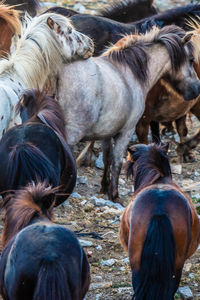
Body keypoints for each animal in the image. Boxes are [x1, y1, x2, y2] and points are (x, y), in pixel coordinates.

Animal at [55, 25, 200, 204]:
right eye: (191, 60)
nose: (197, 89)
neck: (130, 73)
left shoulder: (106, 133)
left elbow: (107, 159)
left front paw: (104, 188)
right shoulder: (126, 131)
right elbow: (117, 162)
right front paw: (114, 195)